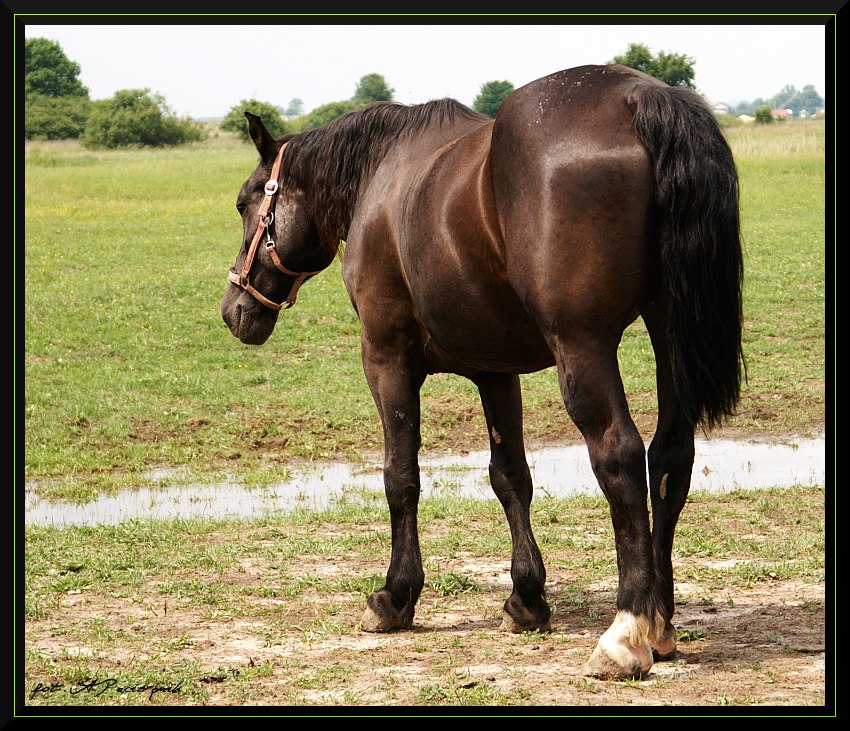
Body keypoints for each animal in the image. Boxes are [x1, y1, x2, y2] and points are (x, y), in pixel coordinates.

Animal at [220, 66, 744, 684]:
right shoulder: (496, 372)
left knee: (620, 457)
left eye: (244, 204)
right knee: (669, 458)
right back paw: (660, 624)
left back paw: (626, 632)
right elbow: (510, 477)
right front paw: (526, 599)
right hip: (668, 336)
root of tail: (638, 95)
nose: (234, 309)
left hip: (583, 349)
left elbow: (401, 476)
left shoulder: (386, 358)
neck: (381, 176)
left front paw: (395, 597)